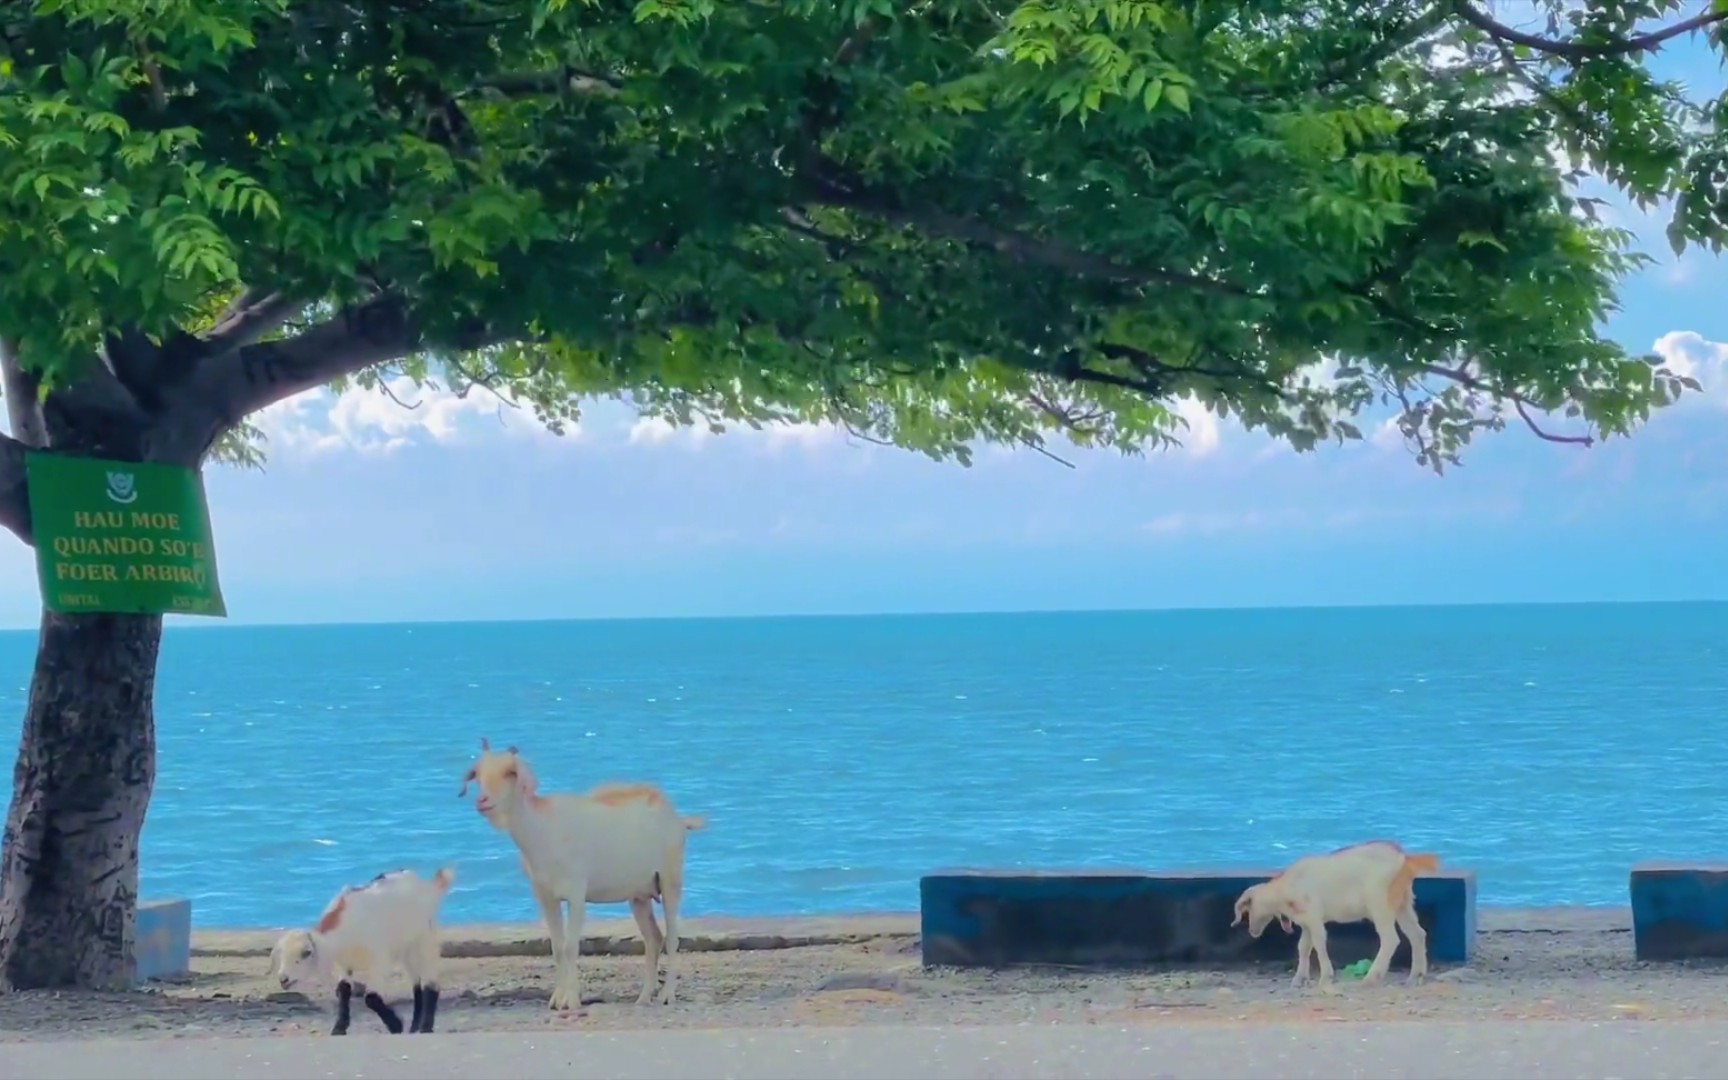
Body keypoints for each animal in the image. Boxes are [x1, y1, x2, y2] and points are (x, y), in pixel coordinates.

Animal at [266, 864, 456, 1029]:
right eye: (280, 955)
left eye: (306, 953)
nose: (283, 979)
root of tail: (426, 886)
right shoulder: (343, 964)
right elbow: (343, 990)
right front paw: (339, 1029)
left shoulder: (380, 959)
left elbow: (370, 998)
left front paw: (396, 1025)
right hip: (405, 948)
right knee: (416, 983)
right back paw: (415, 1027)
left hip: (425, 939)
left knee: (431, 984)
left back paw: (425, 1028)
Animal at [459, 736, 708, 1009]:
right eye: (478, 774)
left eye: (510, 772)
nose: (483, 801)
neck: (542, 830)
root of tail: (678, 819)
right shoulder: (545, 896)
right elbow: (557, 946)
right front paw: (557, 999)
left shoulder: (576, 893)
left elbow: (570, 946)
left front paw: (571, 1000)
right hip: (639, 895)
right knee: (653, 938)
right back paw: (643, 997)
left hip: (670, 880)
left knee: (673, 937)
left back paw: (666, 995)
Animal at [1237, 843, 1437, 988]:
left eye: (1249, 907)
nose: (1253, 931)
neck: (1286, 888)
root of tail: (1405, 859)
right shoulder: (1306, 923)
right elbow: (1303, 947)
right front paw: (1299, 979)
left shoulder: (1314, 916)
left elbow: (1319, 942)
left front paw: (1325, 977)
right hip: (1403, 902)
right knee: (1417, 934)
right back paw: (1415, 977)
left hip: (1380, 902)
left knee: (1390, 939)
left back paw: (1371, 978)